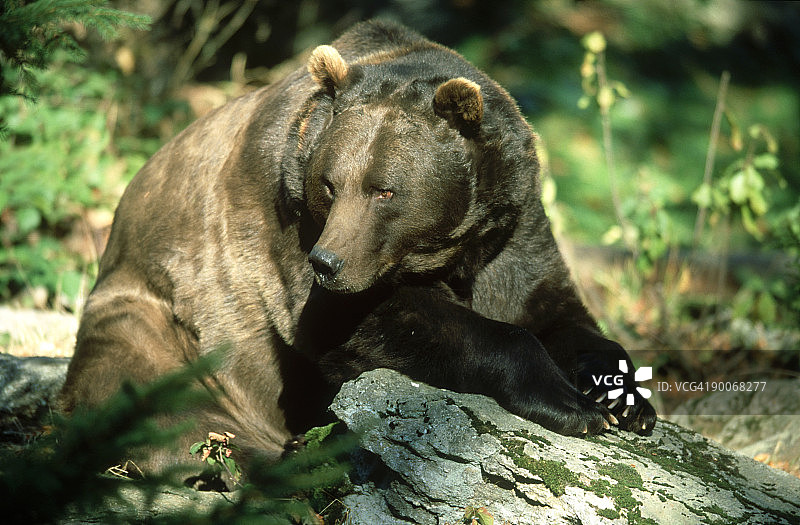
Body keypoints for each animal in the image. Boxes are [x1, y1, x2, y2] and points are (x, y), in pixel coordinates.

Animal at [59, 20, 656, 475]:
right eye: (329, 184)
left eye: (383, 189)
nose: (328, 263)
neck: (447, 248)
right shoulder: (287, 225)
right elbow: (381, 324)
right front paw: (573, 405)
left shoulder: (511, 226)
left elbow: (555, 309)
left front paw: (623, 400)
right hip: (162, 326)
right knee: (159, 400)